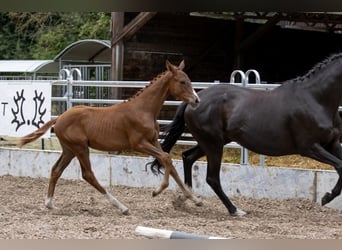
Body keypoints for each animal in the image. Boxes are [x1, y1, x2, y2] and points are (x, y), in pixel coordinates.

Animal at [18, 60, 203, 215]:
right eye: (182, 81)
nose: (196, 100)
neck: (144, 109)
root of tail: (59, 118)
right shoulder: (139, 144)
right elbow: (165, 158)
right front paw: (157, 191)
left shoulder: (154, 141)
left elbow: (169, 163)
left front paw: (195, 199)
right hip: (80, 148)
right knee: (88, 174)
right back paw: (121, 206)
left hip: (69, 150)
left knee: (56, 170)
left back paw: (49, 203)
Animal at [150, 53, 342, 217]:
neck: (315, 100)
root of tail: (195, 100)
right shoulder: (309, 147)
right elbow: (341, 166)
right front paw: (326, 197)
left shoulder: (332, 143)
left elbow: (340, 166)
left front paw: (328, 197)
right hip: (213, 144)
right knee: (212, 178)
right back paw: (234, 210)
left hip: (213, 142)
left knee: (187, 157)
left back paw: (186, 197)